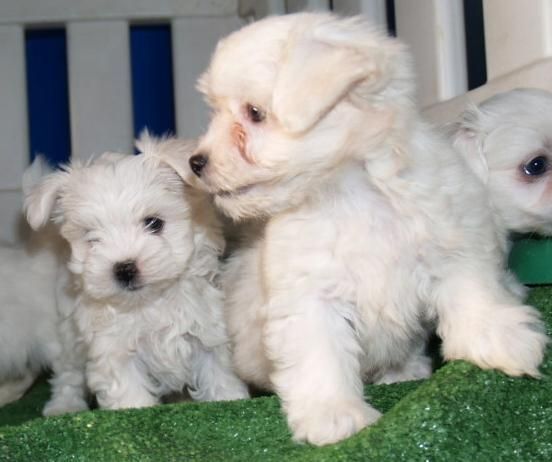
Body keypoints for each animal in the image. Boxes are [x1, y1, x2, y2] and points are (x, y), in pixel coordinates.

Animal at [23, 134, 248, 412]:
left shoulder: (210, 333)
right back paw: (63, 406)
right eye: (92, 239)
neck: (151, 303)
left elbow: (221, 379)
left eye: (154, 223)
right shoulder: (114, 353)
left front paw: (231, 400)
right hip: (69, 336)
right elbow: (130, 399)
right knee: (68, 374)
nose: (124, 268)